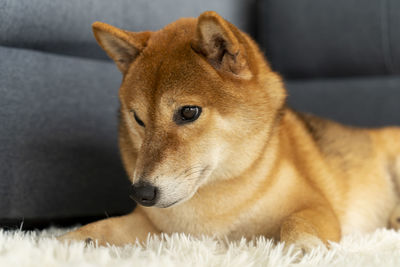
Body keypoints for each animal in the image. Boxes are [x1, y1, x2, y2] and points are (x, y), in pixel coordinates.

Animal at [59, 11, 400, 253]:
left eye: (188, 112)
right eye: (138, 119)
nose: (142, 193)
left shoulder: (315, 205)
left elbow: (297, 222)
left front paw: (303, 247)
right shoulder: (155, 226)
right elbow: (102, 227)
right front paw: (64, 243)